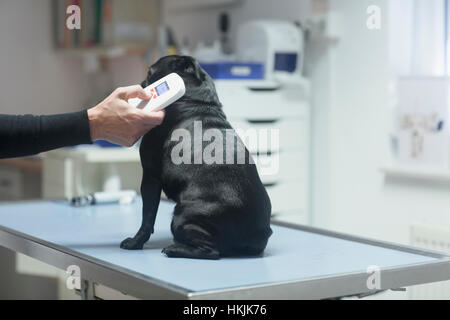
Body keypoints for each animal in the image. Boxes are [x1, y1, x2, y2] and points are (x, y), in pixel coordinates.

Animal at [119, 55, 272, 260]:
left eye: (150, 73)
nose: (142, 84)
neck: (195, 100)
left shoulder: (150, 178)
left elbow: (147, 218)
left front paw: (135, 243)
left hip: (183, 215)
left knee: (212, 252)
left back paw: (175, 249)